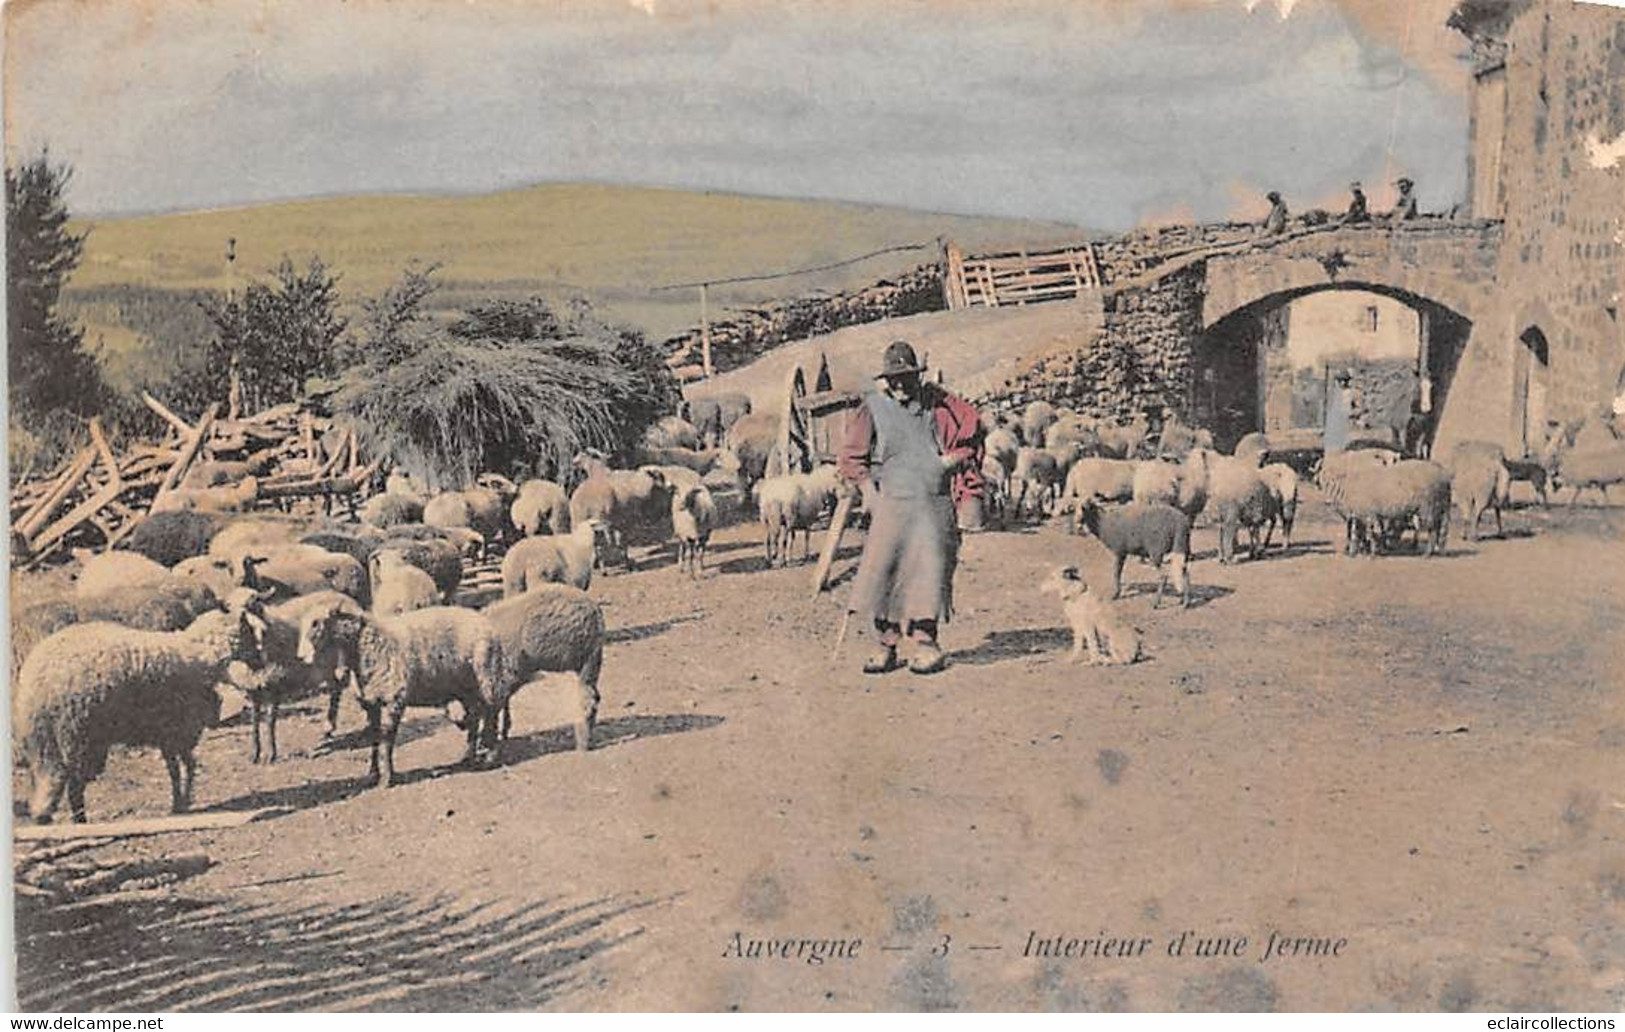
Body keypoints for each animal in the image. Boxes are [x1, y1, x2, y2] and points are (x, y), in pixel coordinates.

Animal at [13, 588, 266, 822]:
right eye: (249, 632)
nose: (260, 663)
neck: (198, 652)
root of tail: (37, 683)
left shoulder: (168, 735)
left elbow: (176, 768)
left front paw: (179, 802)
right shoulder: (178, 730)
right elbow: (186, 766)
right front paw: (182, 801)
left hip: (46, 743)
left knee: (49, 781)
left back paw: (46, 815)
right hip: (76, 736)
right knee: (74, 785)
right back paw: (79, 820)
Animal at [295, 611, 513, 786]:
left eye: (315, 624)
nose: (301, 657)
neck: (364, 647)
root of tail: (487, 623)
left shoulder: (394, 700)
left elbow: (387, 740)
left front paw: (387, 778)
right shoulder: (372, 703)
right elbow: (374, 738)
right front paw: (372, 774)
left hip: (486, 678)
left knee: (492, 713)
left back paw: (490, 758)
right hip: (466, 687)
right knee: (475, 718)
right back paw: (467, 757)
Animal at [487, 581, 611, 750]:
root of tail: (595, 612)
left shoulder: (509, 671)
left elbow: (499, 701)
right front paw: (503, 731)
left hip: (585, 658)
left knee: (587, 699)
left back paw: (582, 743)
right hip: (591, 659)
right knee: (594, 696)